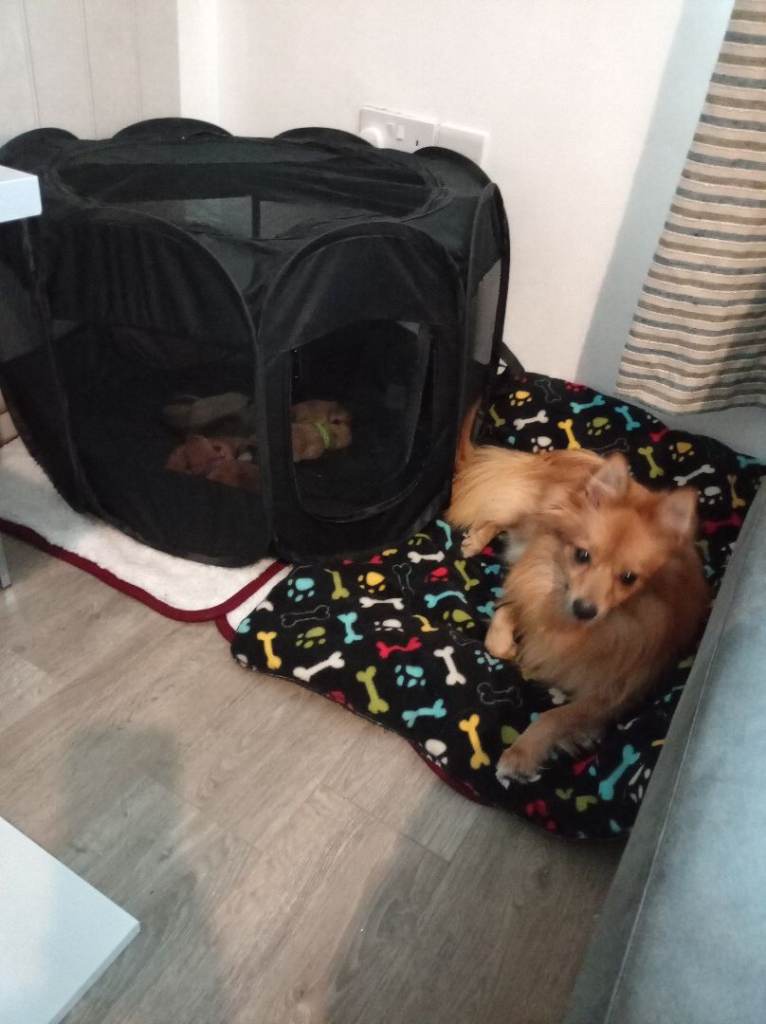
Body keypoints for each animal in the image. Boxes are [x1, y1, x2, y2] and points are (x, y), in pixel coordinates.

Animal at [447, 425, 709, 783]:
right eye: (582, 556)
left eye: (629, 578)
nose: (584, 609)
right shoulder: (538, 582)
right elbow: (503, 628)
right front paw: (508, 643)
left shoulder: (610, 695)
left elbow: (555, 717)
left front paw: (521, 753)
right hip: (529, 513)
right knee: (498, 511)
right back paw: (476, 539)